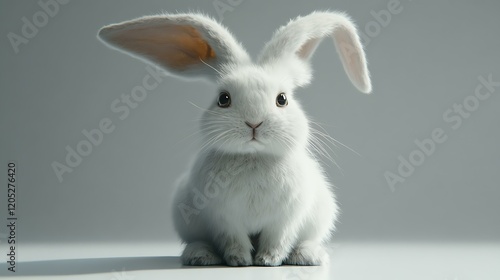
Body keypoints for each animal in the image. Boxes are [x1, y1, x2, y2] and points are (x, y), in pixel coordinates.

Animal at [98, 10, 372, 264]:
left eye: (282, 99)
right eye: (223, 99)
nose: (254, 122)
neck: (253, 158)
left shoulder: (286, 219)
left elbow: (278, 240)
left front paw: (267, 261)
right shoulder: (223, 219)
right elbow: (233, 240)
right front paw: (240, 261)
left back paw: (308, 255)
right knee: (198, 240)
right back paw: (200, 256)